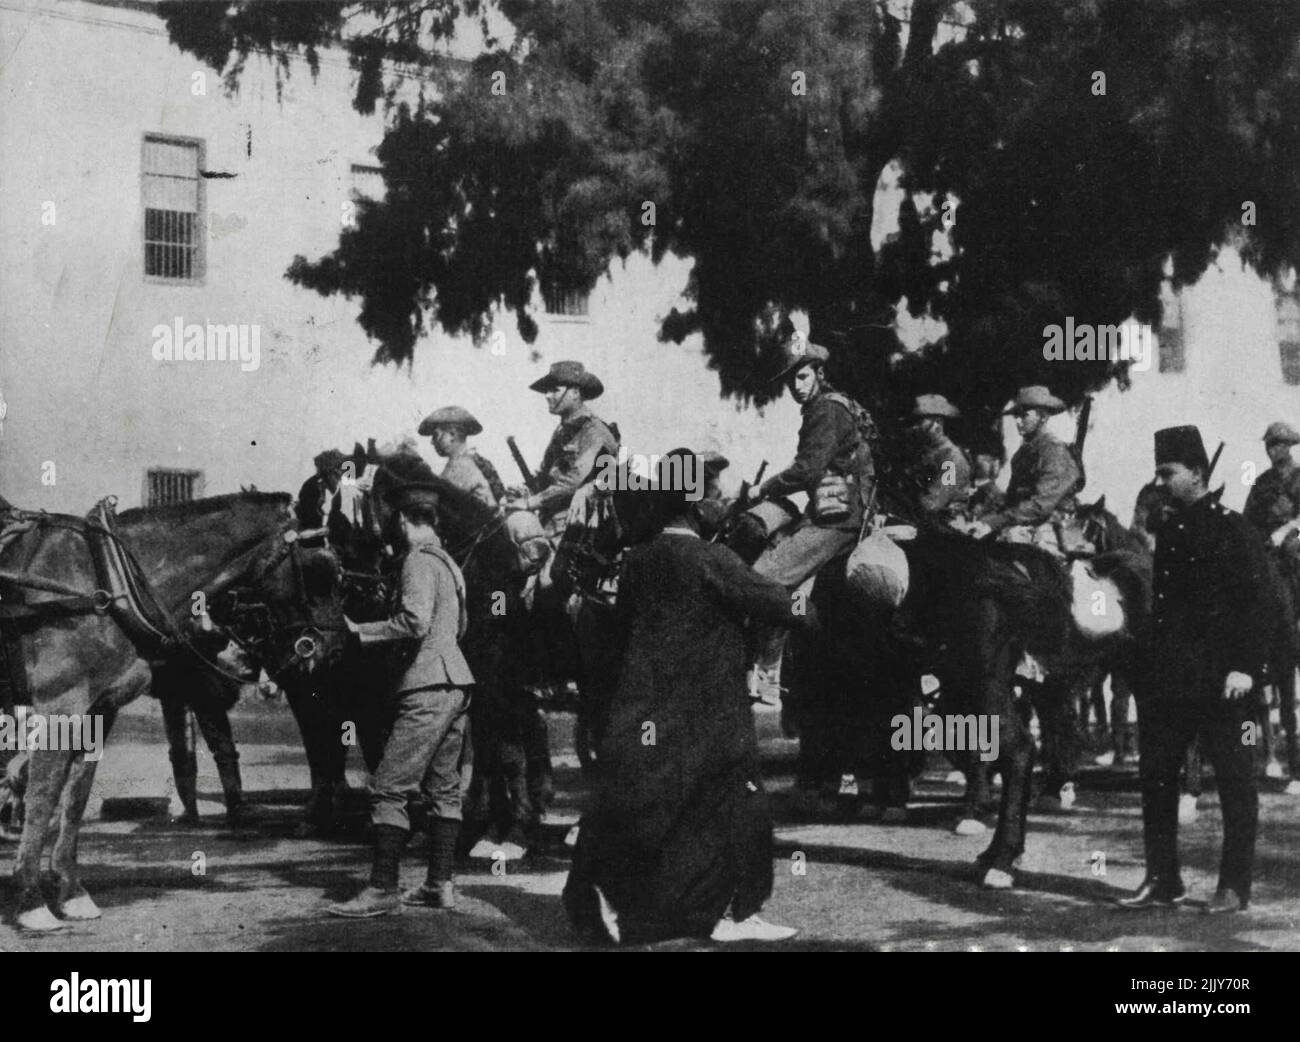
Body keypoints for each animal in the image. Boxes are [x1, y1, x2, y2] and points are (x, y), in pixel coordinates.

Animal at [0, 491, 345, 930]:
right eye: (317, 571)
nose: (335, 650)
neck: (104, 579)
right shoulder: (60, 706)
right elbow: (43, 797)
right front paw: (31, 900)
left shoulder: (100, 711)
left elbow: (75, 798)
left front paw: (72, 892)